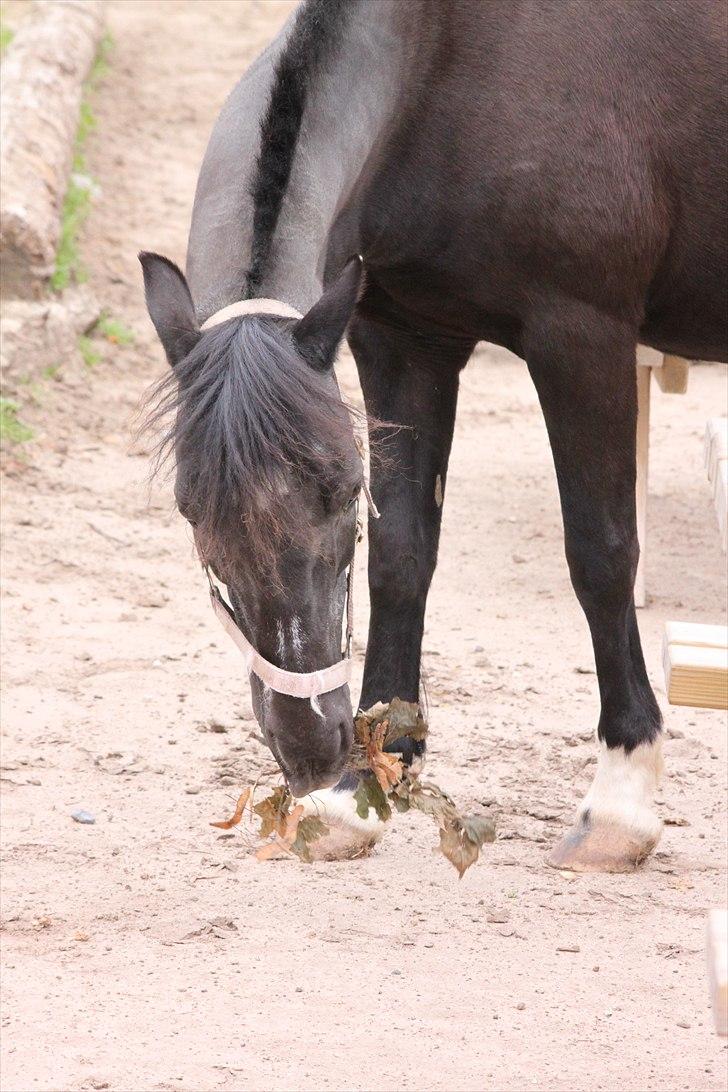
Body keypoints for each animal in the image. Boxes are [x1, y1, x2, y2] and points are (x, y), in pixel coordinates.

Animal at [139, 0, 724, 869]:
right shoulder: (402, 340)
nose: (309, 749)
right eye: (191, 510)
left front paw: (621, 801)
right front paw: (365, 784)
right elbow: (403, 554)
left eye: (341, 489)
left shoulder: (582, 336)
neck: (446, 69)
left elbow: (602, 555)